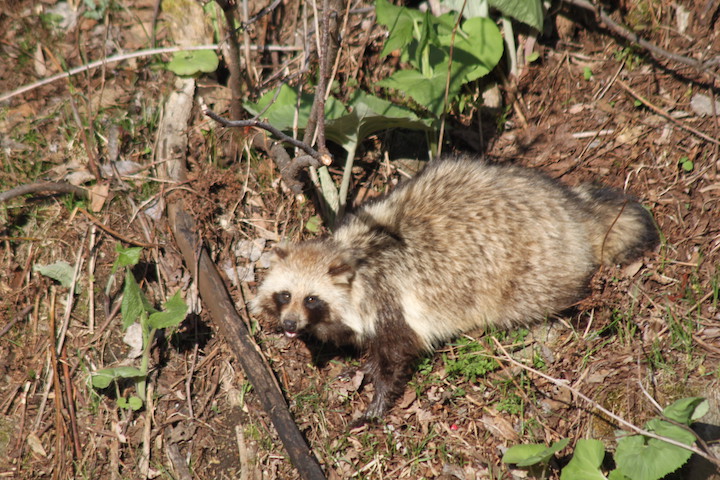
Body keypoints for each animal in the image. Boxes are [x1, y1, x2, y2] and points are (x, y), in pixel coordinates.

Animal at [250, 158, 660, 424]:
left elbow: (397, 352)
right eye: (285, 295)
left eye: (311, 299)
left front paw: (376, 401)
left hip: (532, 270)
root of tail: (575, 212)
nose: (289, 324)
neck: (353, 255)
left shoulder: (388, 297)